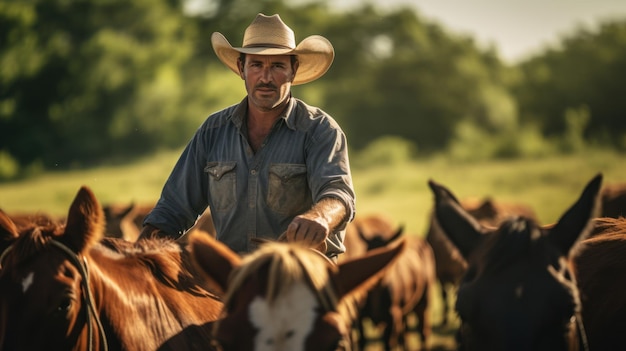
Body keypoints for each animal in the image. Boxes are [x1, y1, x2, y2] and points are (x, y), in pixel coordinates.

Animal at [352, 216, 434, 350]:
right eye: (367, 251)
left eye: (385, 250)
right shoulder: (360, 316)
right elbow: (362, 342)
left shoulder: (393, 316)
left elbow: (389, 344)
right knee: (404, 333)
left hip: (424, 299)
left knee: (423, 331)